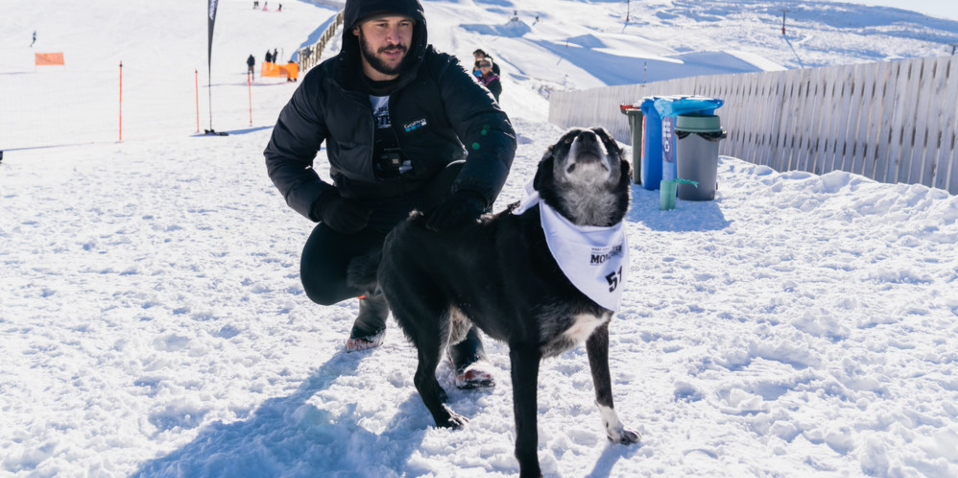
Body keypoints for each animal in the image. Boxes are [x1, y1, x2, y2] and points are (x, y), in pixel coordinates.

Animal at [356, 127, 640, 478]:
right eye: (565, 141)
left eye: (606, 138)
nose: (587, 136)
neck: (583, 232)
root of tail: (394, 233)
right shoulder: (524, 352)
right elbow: (528, 429)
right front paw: (531, 472)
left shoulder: (598, 332)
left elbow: (605, 389)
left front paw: (616, 431)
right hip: (435, 322)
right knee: (420, 375)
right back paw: (445, 417)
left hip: (454, 323)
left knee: (426, 371)